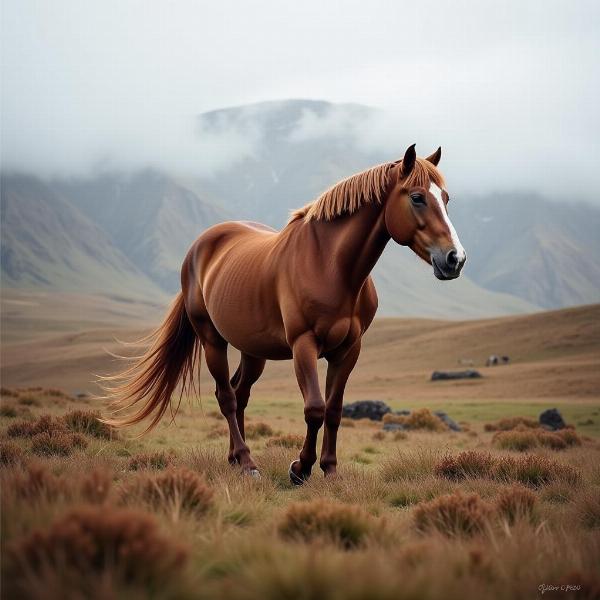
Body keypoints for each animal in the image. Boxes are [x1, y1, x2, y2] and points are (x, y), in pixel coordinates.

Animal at [104, 144, 468, 482]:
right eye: (418, 197)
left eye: (446, 198)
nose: (455, 258)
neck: (330, 266)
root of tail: (200, 247)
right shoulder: (303, 345)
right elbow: (315, 408)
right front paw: (300, 468)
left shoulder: (348, 350)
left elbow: (334, 410)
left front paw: (330, 470)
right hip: (212, 340)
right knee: (226, 397)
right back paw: (248, 464)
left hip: (253, 351)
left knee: (240, 393)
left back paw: (235, 458)